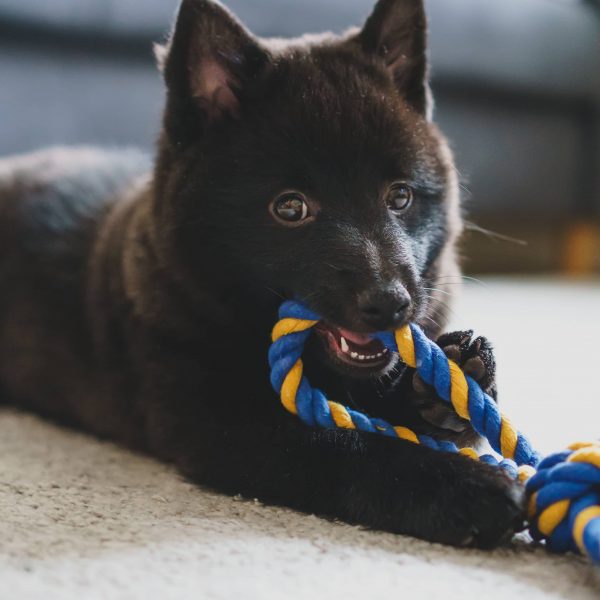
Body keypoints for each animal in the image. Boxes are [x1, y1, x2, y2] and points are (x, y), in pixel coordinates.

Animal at [0, 0, 524, 548]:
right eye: (290, 207)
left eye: (399, 196)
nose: (390, 302)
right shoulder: (227, 426)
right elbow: (349, 450)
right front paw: (467, 488)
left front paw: (450, 381)